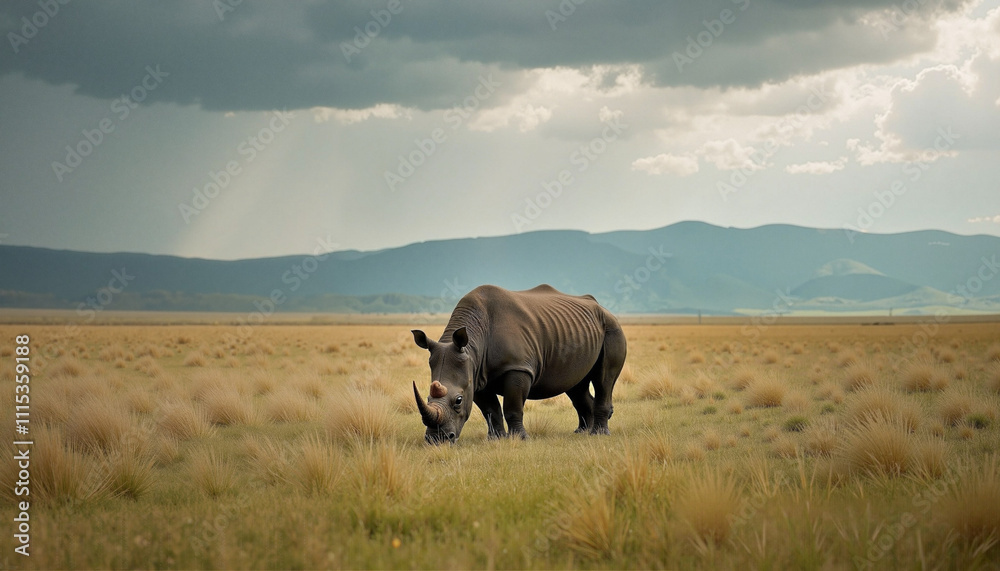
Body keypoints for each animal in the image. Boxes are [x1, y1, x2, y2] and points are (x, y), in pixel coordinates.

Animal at [411, 284, 627, 444]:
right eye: (428, 399)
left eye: (458, 400)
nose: (436, 440)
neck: (473, 345)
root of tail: (603, 309)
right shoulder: (475, 374)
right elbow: (491, 410)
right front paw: (496, 440)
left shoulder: (517, 367)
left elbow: (512, 407)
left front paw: (519, 439)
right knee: (576, 385)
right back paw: (581, 432)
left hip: (612, 329)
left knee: (603, 380)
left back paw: (598, 434)